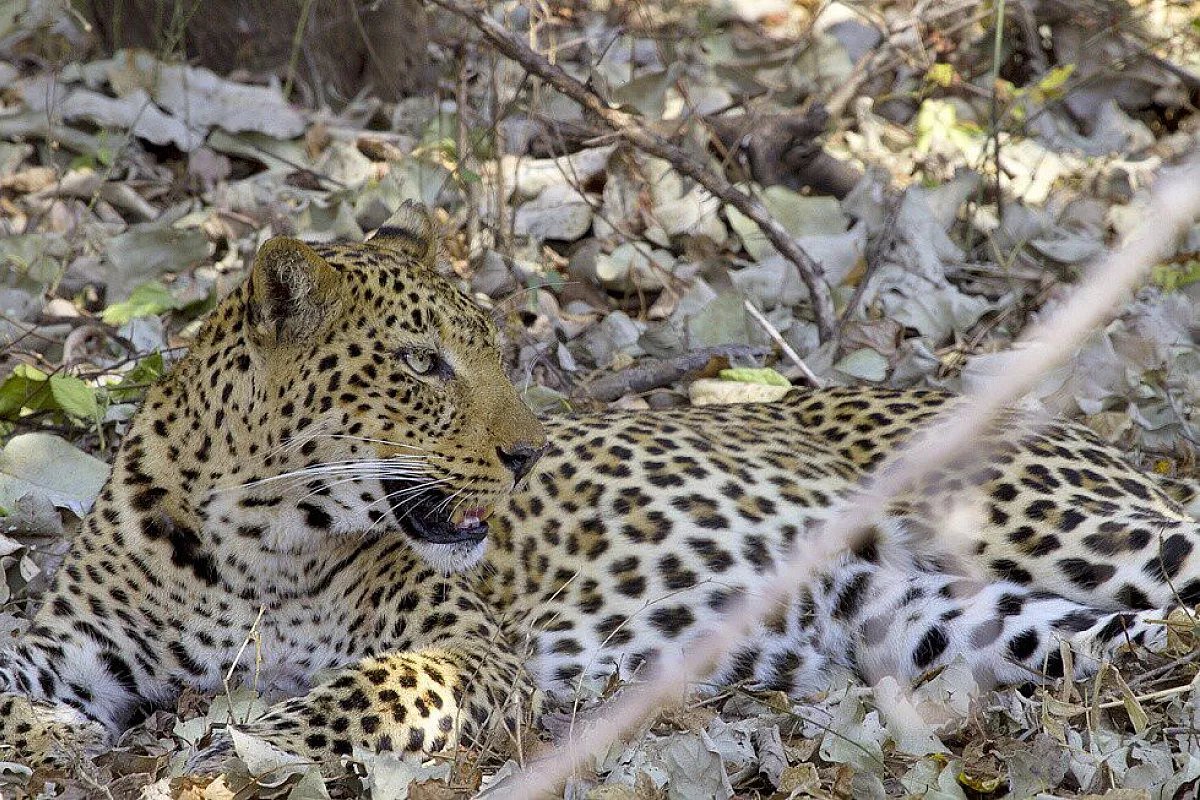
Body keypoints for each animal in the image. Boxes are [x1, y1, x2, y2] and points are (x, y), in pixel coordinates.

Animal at [2, 201, 1198, 780]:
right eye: (421, 363)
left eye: (493, 348)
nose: (529, 453)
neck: (258, 540)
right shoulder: (80, 639)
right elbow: (15, 671)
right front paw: (50, 734)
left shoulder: (469, 649)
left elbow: (359, 692)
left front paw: (229, 743)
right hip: (949, 620)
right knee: (1119, 637)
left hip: (1064, 524)